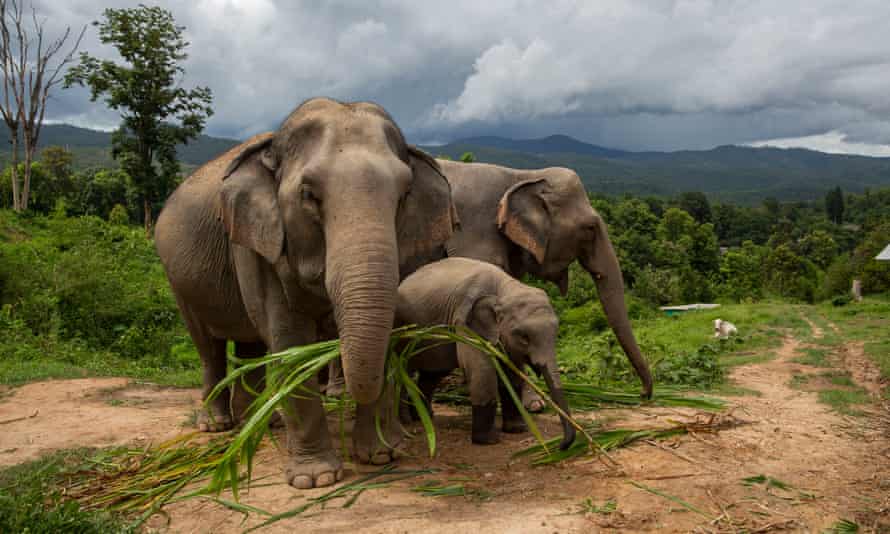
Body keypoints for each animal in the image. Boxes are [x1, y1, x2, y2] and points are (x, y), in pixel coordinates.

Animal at [153, 99, 454, 490]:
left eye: (403, 195)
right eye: (309, 195)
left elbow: (386, 332)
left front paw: (380, 456)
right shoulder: (258, 245)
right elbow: (291, 344)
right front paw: (317, 478)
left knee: (251, 348)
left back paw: (264, 423)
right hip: (178, 281)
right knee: (209, 348)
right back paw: (217, 425)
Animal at [398, 258, 576, 450]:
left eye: (556, 332)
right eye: (524, 338)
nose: (560, 446)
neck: (504, 288)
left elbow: (512, 374)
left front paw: (517, 430)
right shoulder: (464, 322)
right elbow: (482, 371)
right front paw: (488, 441)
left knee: (434, 373)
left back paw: (423, 416)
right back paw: (407, 421)